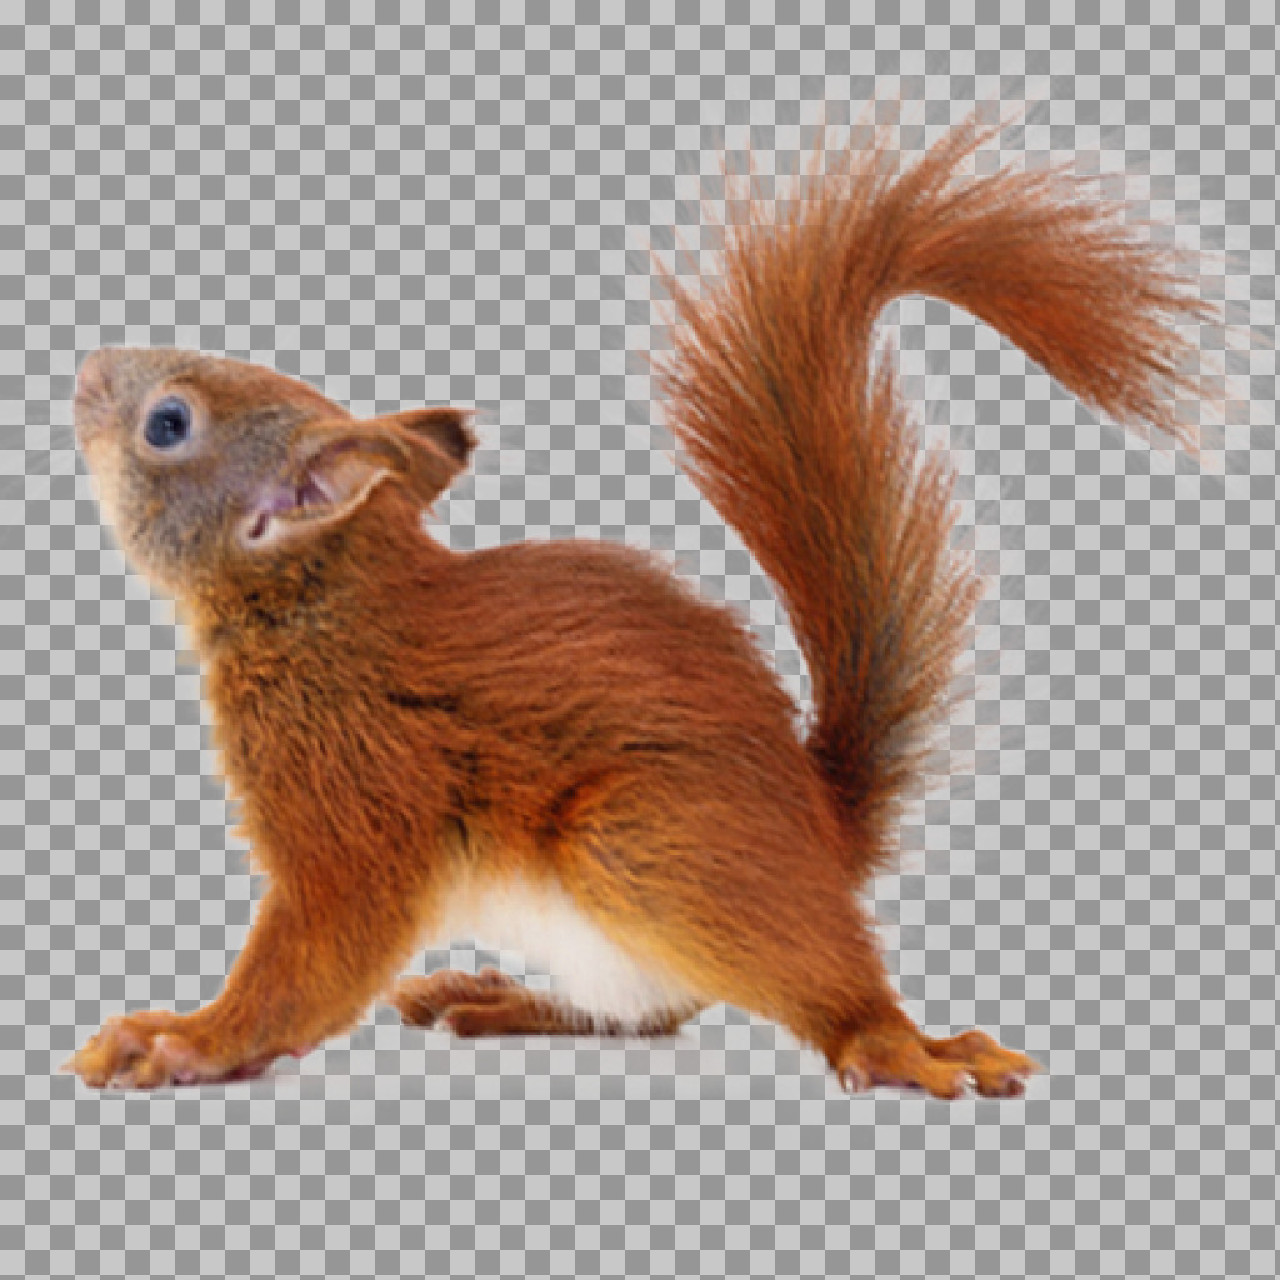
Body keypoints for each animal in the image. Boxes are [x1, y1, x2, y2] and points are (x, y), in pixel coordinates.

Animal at [65, 117, 1215, 1098]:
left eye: (168, 422)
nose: (85, 365)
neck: (317, 608)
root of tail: (823, 836)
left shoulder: (354, 781)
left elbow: (317, 952)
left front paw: (188, 1038)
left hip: (642, 842)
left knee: (811, 987)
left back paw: (890, 1040)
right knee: (651, 1011)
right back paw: (503, 997)